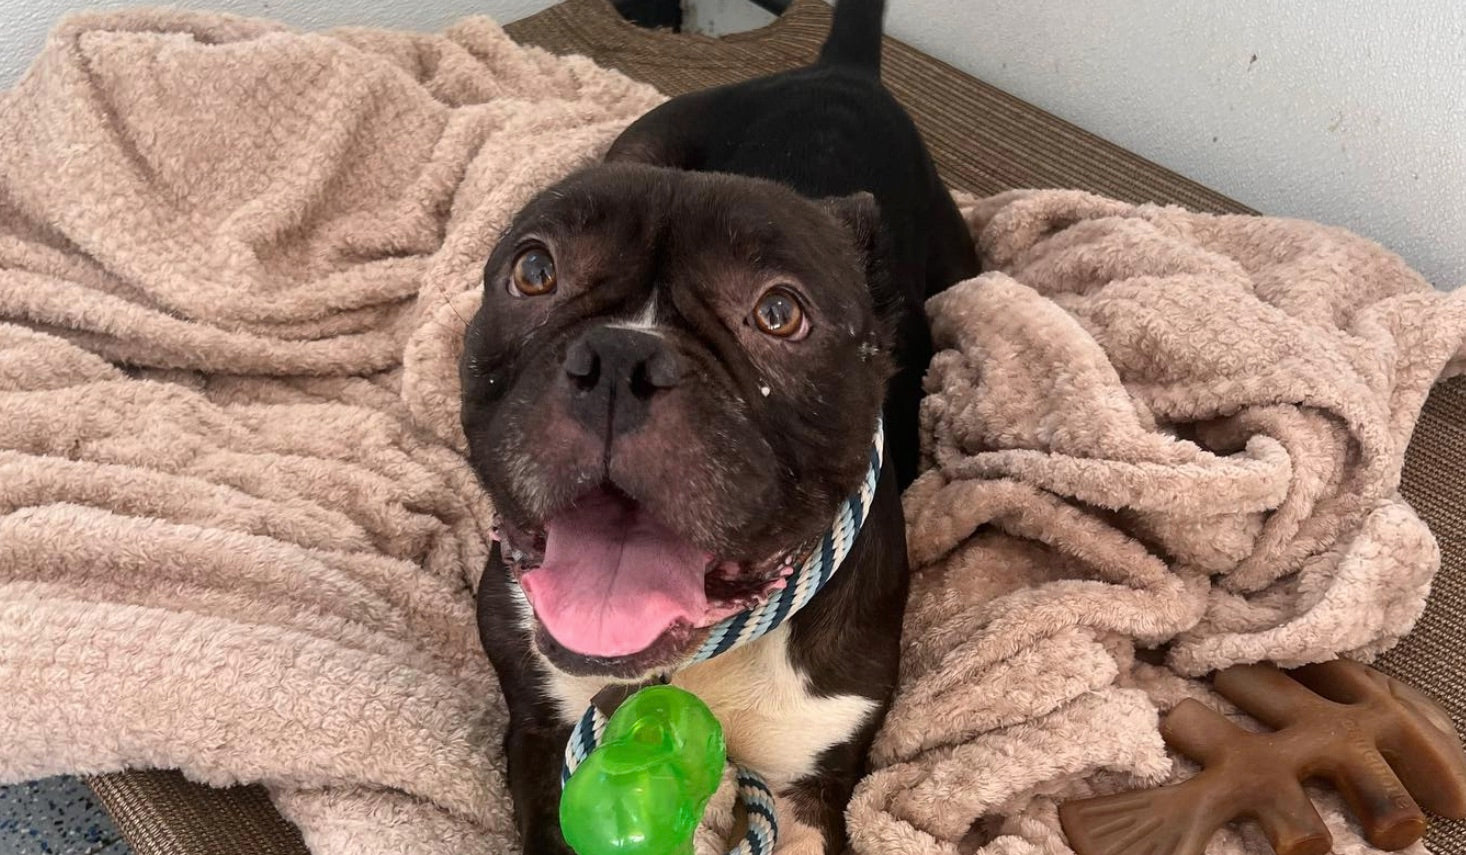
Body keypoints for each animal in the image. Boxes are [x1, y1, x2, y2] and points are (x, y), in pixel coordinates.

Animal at [463, 3, 979, 850]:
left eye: (779, 312)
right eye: (534, 270)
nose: (619, 356)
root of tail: (842, 70)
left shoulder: (810, 780)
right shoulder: (542, 733)